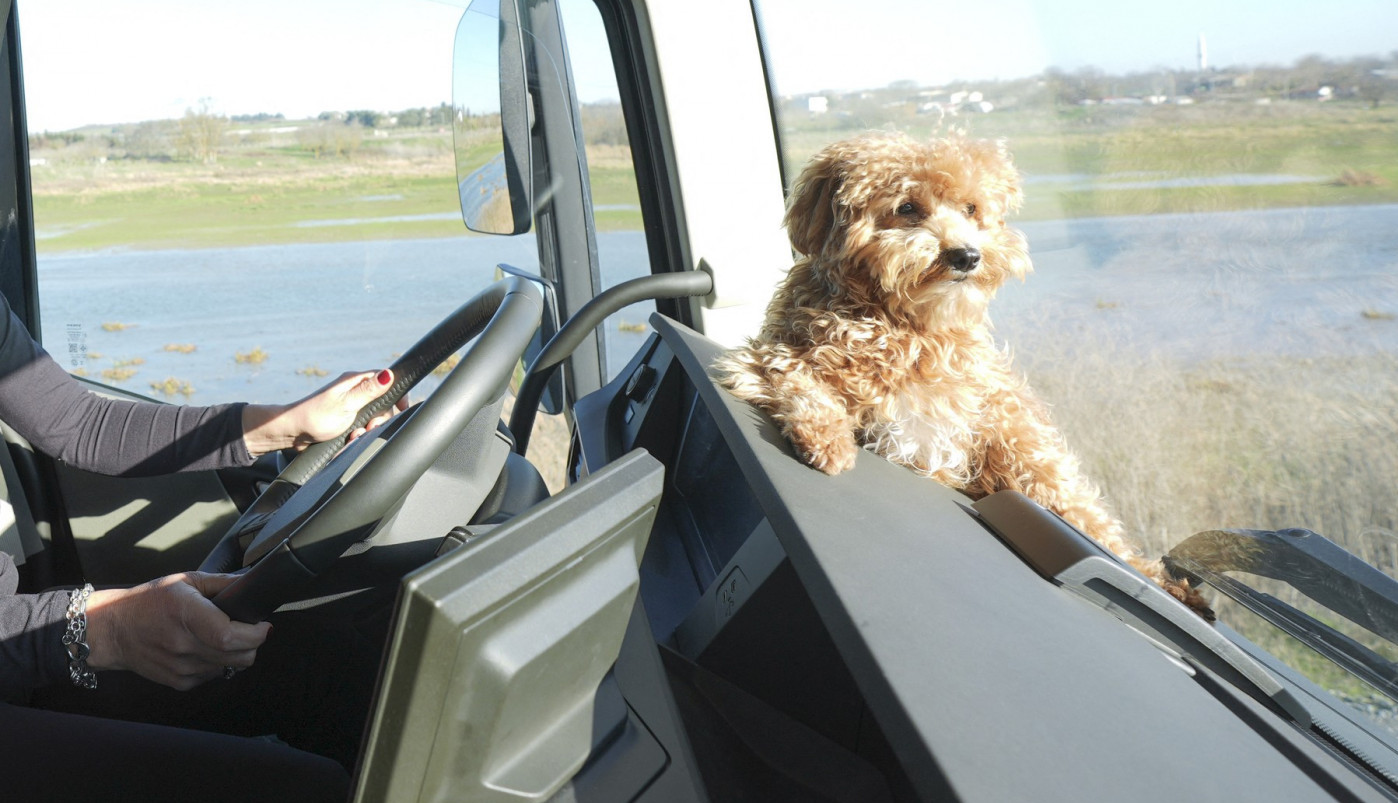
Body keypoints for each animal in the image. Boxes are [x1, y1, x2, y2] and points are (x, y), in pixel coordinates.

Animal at [715, 135, 1207, 621]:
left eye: (971, 208)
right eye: (908, 207)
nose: (967, 255)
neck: (898, 324)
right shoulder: (761, 357)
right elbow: (795, 377)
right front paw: (828, 440)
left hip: (1030, 453)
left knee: (1098, 527)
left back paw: (1170, 587)